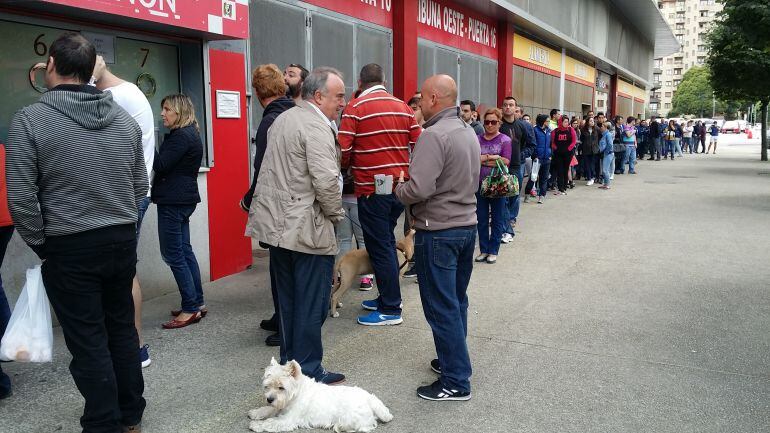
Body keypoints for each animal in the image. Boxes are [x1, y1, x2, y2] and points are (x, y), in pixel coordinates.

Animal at [249, 356, 392, 430]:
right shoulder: (280, 406)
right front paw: (256, 412)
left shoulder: (288, 420)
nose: (269, 399)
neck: (296, 394)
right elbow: (269, 409)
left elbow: (271, 422)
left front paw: (256, 425)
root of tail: (369, 398)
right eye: (267, 386)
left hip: (351, 418)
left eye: (281, 387)